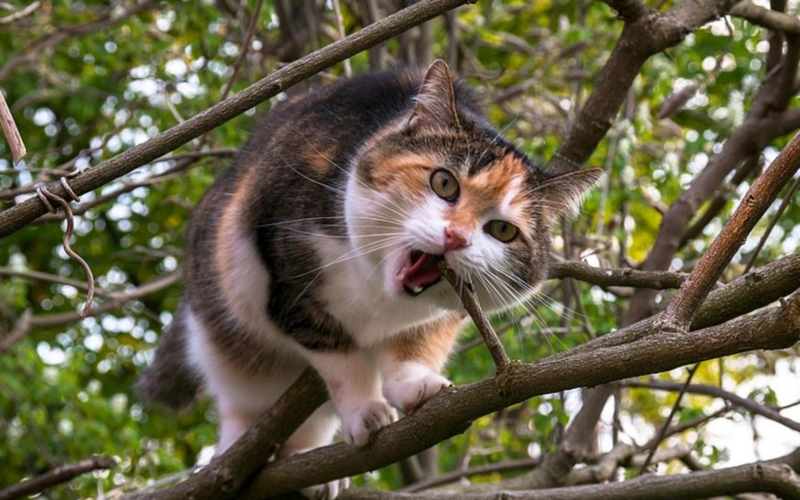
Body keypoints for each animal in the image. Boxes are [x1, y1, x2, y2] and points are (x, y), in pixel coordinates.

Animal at [138, 60, 600, 498]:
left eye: (503, 230)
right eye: (443, 182)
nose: (456, 236)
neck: (380, 295)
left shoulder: (447, 313)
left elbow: (416, 343)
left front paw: (416, 385)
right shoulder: (289, 277)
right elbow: (342, 359)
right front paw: (366, 410)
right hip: (228, 335)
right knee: (243, 400)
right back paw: (236, 451)